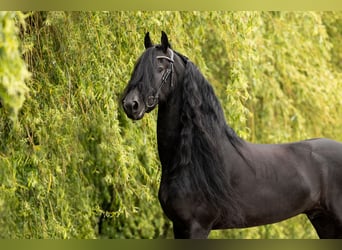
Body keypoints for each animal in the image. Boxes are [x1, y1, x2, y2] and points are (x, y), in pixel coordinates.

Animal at [121, 31, 342, 238]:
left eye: (160, 68)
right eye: (137, 68)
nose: (131, 105)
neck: (191, 160)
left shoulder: (196, 226)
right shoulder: (179, 227)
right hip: (324, 221)